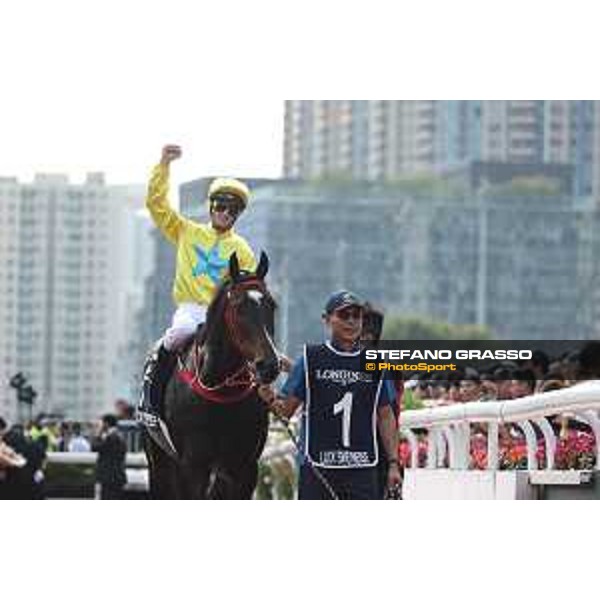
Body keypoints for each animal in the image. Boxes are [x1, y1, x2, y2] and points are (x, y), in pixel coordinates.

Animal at [144, 251, 282, 500]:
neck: (220, 391)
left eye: (272, 305)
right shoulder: (193, 466)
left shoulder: (245, 468)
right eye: (238, 307)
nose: (269, 365)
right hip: (158, 459)